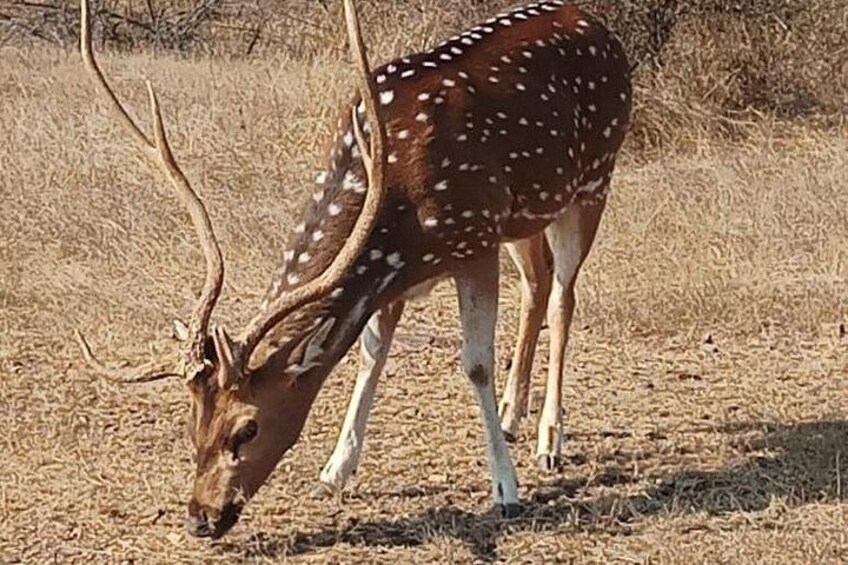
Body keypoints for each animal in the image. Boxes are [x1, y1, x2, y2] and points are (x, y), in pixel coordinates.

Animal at [76, 0, 632, 539]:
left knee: (562, 297)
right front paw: (334, 471)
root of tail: (599, 26)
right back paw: (515, 416)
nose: (201, 517)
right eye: (192, 424)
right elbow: (371, 353)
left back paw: (549, 440)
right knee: (537, 284)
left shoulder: (473, 238)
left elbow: (474, 363)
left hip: (593, 181)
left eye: (247, 428)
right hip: (527, 215)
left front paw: (505, 489)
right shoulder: (397, 271)